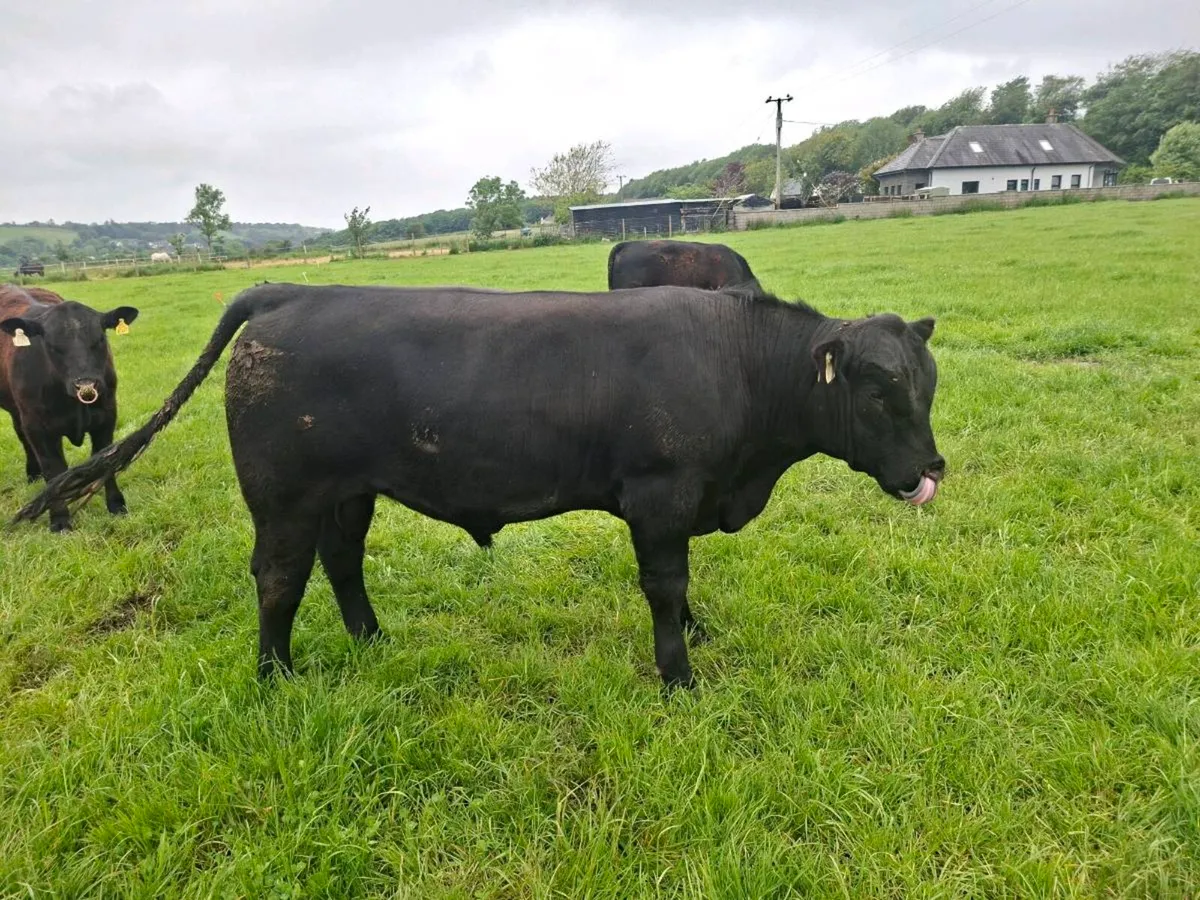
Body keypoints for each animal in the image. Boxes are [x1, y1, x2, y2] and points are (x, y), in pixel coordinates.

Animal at [0, 285, 139, 532]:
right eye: (51, 346)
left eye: (100, 338)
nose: (86, 385)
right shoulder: (38, 427)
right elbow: (54, 470)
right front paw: (60, 520)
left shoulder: (107, 416)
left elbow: (106, 461)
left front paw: (116, 505)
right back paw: (33, 473)